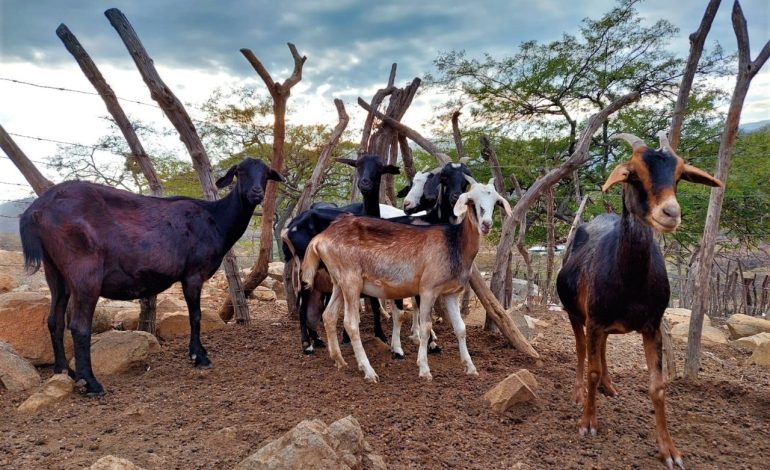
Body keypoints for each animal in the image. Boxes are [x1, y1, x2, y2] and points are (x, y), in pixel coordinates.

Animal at [19, 158, 280, 396]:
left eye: (266, 173)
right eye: (240, 171)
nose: (256, 192)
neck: (215, 219)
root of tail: (36, 210)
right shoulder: (193, 274)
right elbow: (195, 316)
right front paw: (199, 356)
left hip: (55, 271)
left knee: (54, 320)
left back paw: (64, 371)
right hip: (84, 272)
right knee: (79, 326)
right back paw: (91, 384)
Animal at [300, 179, 510, 382]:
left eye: (495, 202)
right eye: (471, 201)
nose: (486, 224)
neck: (454, 244)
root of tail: (319, 239)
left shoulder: (451, 292)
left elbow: (460, 328)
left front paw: (471, 368)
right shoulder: (428, 289)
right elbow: (426, 328)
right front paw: (424, 369)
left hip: (339, 282)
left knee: (328, 315)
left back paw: (340, 360)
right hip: (351, 281)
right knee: (351, 323)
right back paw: (368, 371)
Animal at [552, 130, 720, 468]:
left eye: (679, 174)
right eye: (632, 174)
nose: (670, 213)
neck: (630, 282)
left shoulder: (652, 326)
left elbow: (658, 385)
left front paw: (669, 450)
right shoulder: (594, 319)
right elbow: (589, 367)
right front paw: (587, 422)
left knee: (601, 348)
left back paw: (608, 385)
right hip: (576, 313)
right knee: (581, 350)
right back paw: (580, 392)